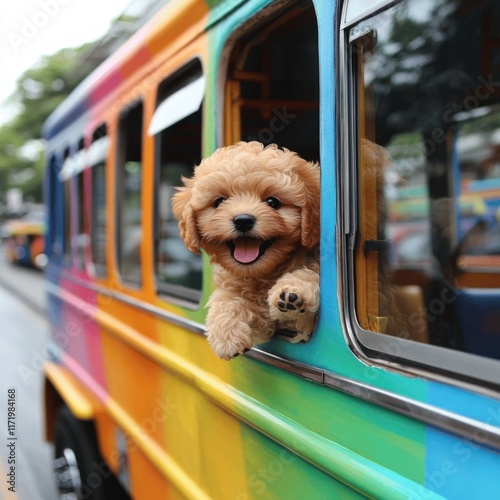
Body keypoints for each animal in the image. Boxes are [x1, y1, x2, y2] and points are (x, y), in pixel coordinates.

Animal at [172, 141, 320, 360]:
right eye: (219, 202)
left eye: (272, 202)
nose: (243, 220)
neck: (262, 274)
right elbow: (226, 298)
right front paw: (227, 335)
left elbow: (311, 273)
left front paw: (294, 292)